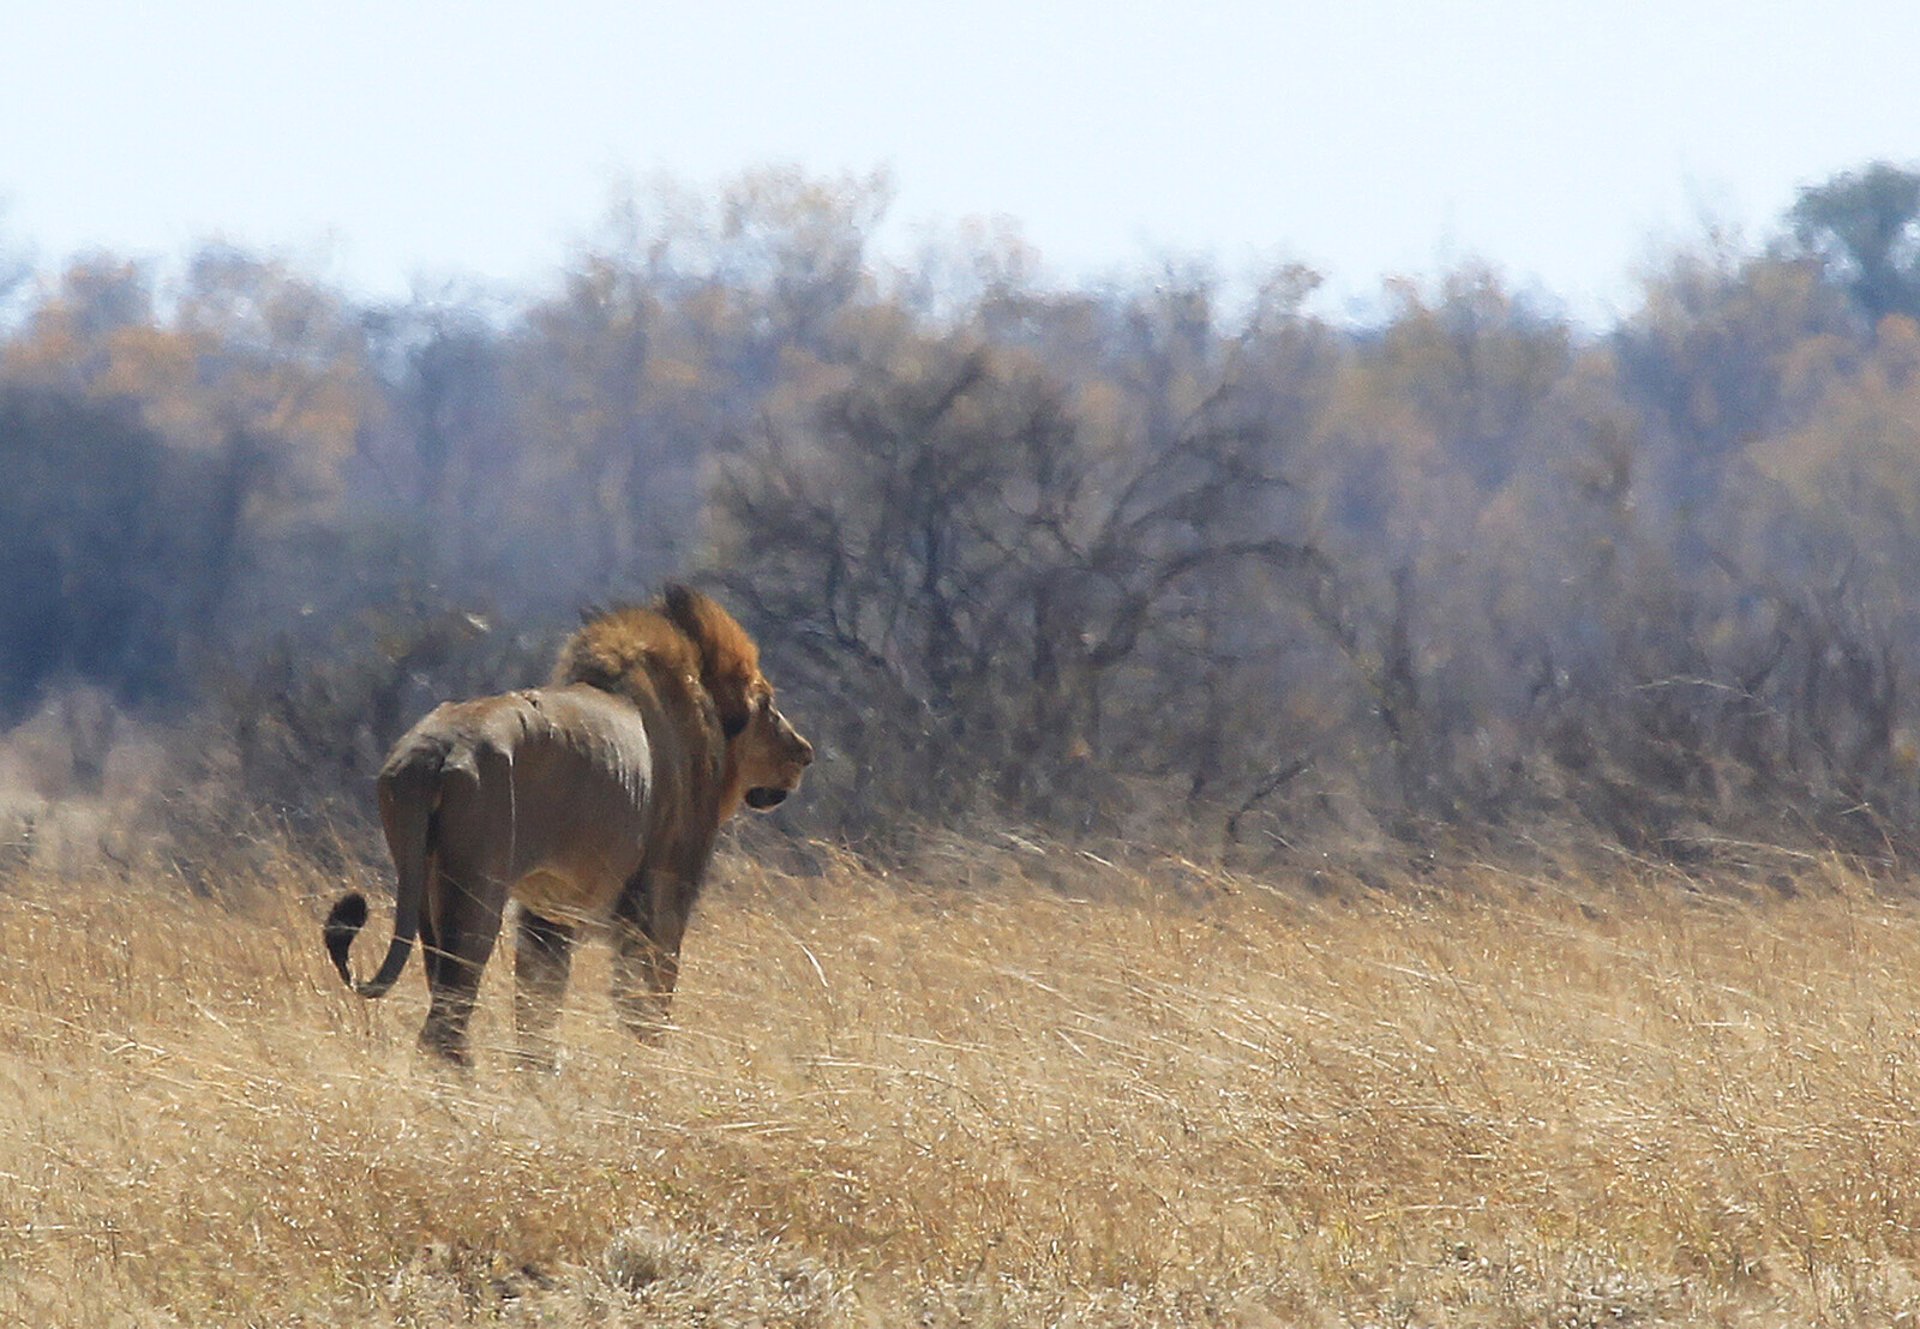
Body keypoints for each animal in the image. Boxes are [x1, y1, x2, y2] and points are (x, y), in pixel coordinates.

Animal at [320, 587, 810, 1067]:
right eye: (767, 703)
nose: (804, 753)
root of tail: (435, 753)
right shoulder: (662, 898)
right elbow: (647, 1010)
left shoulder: (548, 914)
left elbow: (537, 1022)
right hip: (476, 889)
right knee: (444, 1029)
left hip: (423, 886)